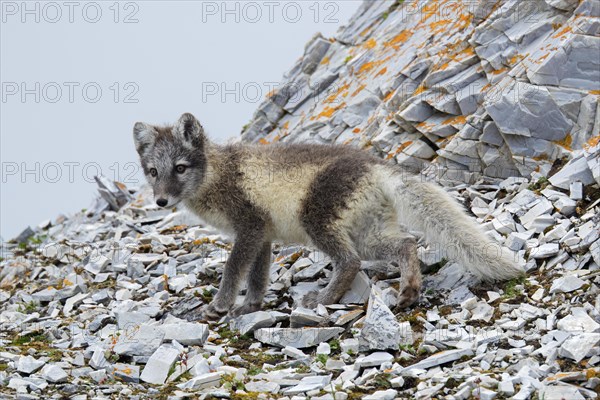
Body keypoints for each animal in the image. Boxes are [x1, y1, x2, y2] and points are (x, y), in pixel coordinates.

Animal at [132, 112, 524, 318]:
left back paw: (324, 299)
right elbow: (257, 276)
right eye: (152, 171)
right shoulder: (264, 236)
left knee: (350, 262)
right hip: (367, 233)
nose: (161, 202)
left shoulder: (250, 226)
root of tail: (374, 165)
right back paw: (409, 291)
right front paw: (251, 307)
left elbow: (233, 270)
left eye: (180, 168)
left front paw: (220, 306)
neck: (216, 174)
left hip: (318, 222)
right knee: (406, 243)